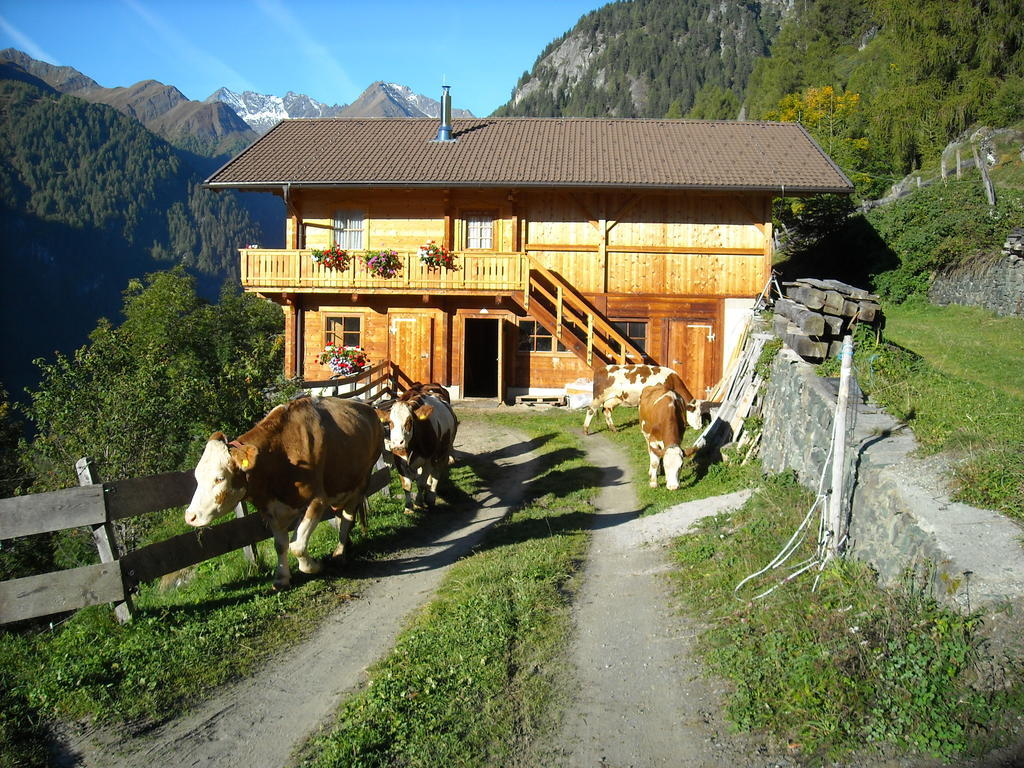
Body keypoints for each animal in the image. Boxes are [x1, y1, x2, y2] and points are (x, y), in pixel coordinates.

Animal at [182, 397, 382, 589]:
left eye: (219, 478)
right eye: (197, 476)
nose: (190, 516)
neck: (280, 454)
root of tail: (368, 407)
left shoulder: (317, 500)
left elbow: (297, 545)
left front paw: (314, 566)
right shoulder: (271, 509)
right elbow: (280, 545)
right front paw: (282, 578)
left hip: (363, 480)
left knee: (348, 516)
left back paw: (340, 553)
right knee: (340, 514)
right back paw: (347, 545)